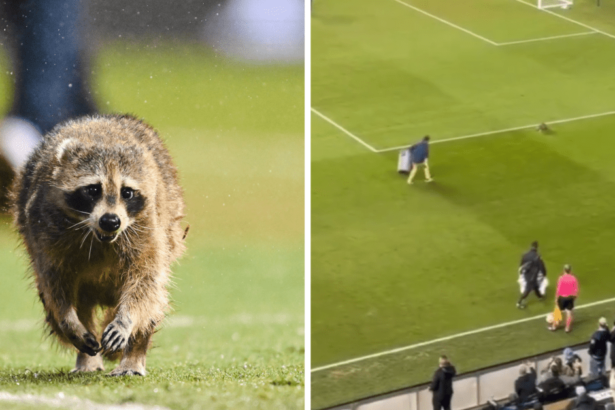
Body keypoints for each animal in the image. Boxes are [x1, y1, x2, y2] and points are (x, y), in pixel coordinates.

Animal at [9, 113, 186, 376]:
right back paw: (86, 355)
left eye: (127, 192)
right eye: (92, 189)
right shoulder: (42, 229)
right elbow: (53, 285)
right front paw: (69, 321)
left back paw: (134, 354)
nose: (111, 221)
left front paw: (126, 320)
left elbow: (145, 280)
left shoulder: (148, 226)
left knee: (154, 299)